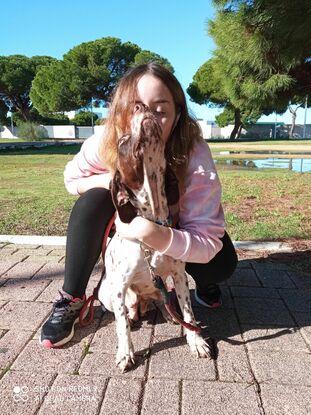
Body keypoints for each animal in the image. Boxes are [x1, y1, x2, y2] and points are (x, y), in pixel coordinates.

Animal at [97, 102, 212, 372]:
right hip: (106, 293)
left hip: (162, 289)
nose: (140, 105)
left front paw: (196, 341)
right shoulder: (120, 287)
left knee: (163, 300)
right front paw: (125, 353)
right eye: (123, 140)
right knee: (126, 312)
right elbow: (121, 326)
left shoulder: (179, 276)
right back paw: (133, 315)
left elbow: (189, 313)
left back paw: (169, 314)